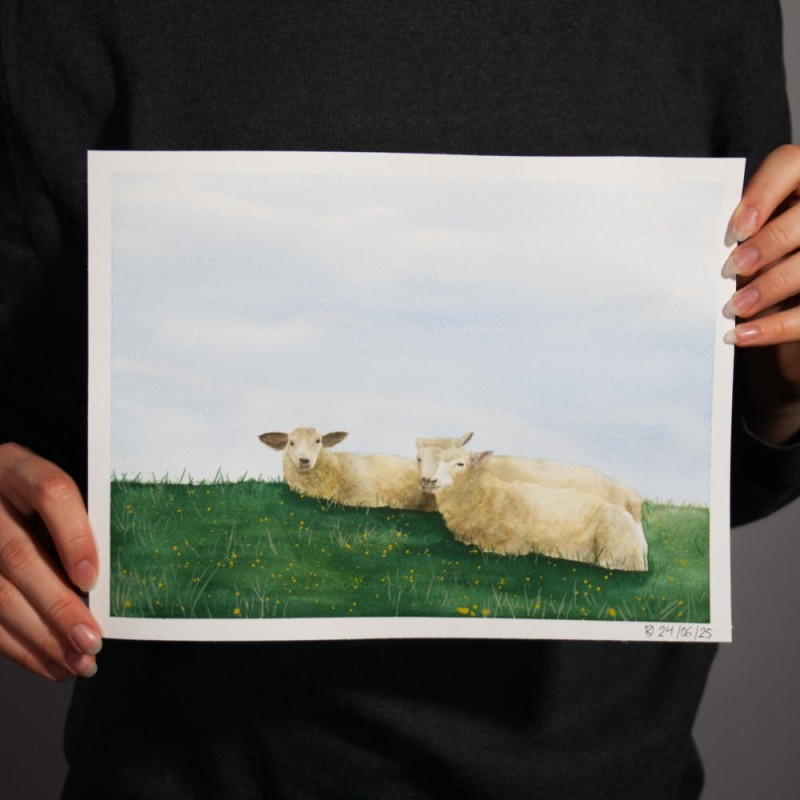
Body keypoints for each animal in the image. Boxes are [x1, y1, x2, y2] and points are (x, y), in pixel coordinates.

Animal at [427, 447, 649, 571]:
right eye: (437, 462)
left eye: (460, 464)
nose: (431, 480)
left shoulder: (515, 544)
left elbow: (483, 547)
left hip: (615, 554)